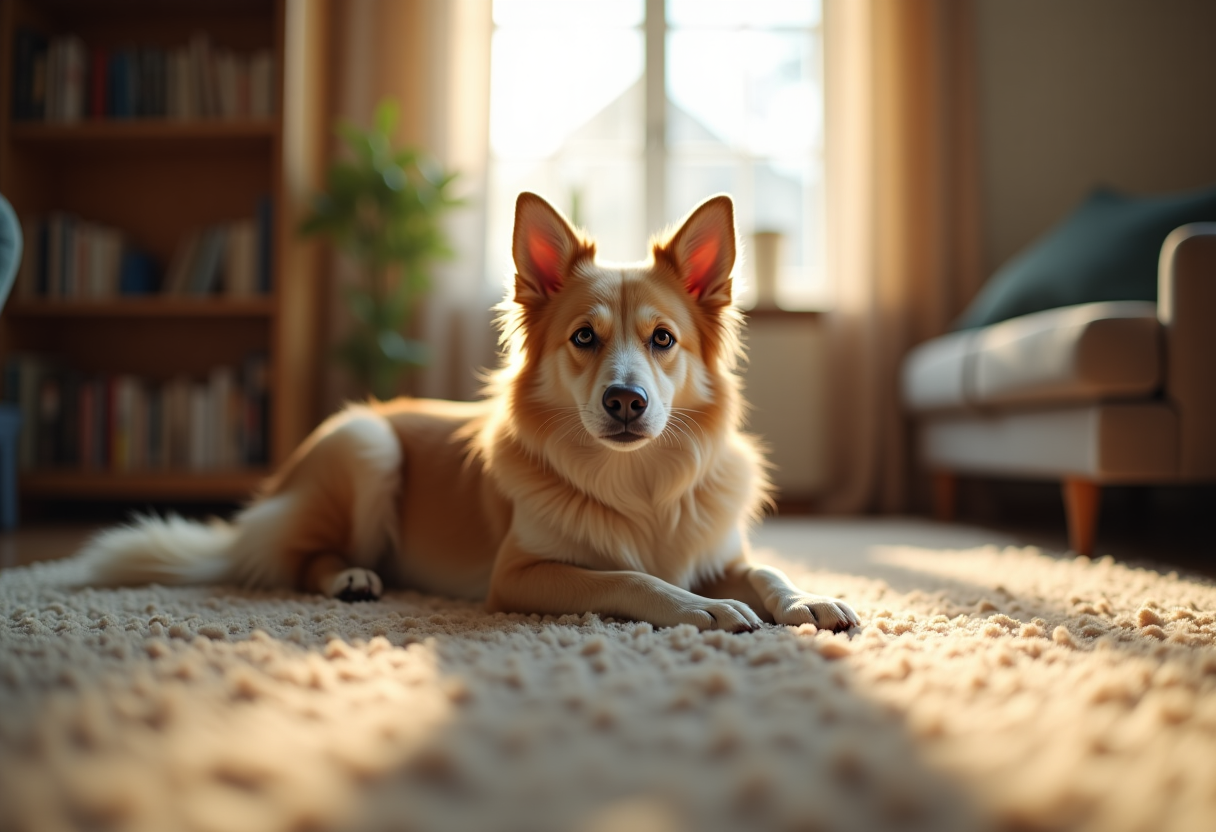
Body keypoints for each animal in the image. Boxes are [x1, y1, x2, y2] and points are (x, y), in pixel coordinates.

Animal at [76, 193, 860, 632]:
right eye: (584, 338)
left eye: (663, 340)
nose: (626, 400)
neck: (638, 483)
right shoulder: (518, 575)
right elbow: (627, 578)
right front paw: (702, 609)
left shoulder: (721, 553)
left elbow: (766, 572)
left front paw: (807, 600)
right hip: (366, 444)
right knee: (298, 560)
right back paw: (350, 579)